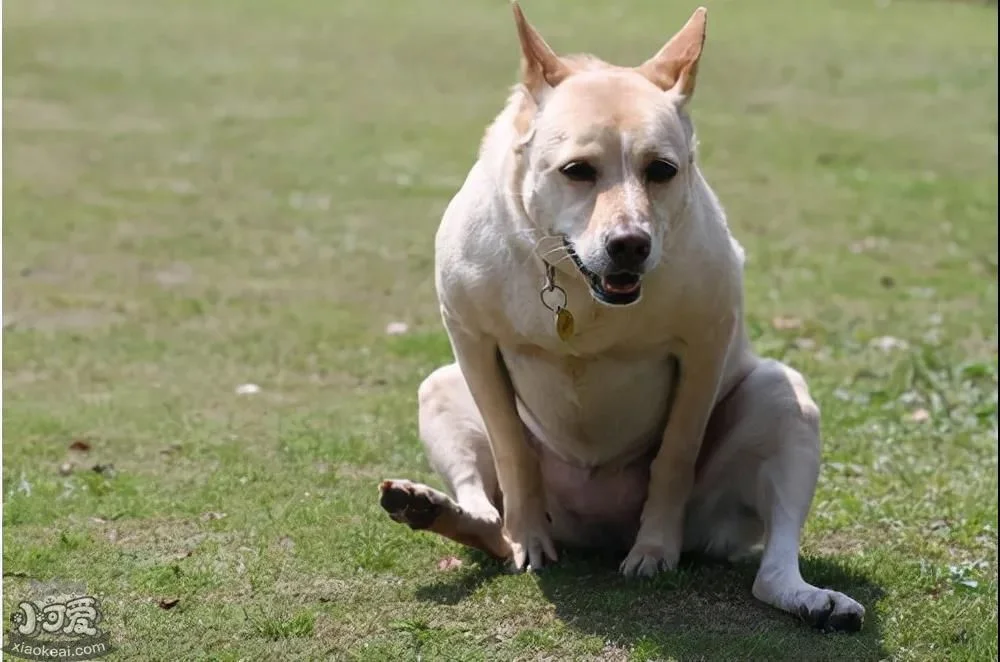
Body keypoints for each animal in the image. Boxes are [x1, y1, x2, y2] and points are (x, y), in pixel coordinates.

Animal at [378, 2, 864, 632]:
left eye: (662, 170)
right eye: (577, 170)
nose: (631, 244)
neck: (576, 285)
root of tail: (594, 528)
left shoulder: (706, 342)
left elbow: (676, 453)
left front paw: (655, 549)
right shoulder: (470, 340)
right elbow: (511, 449)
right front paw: (528, 539)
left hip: (783, 399)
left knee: (771, 566)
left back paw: (813, 599)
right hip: (439, 388)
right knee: (489, 518)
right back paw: (432, 509)